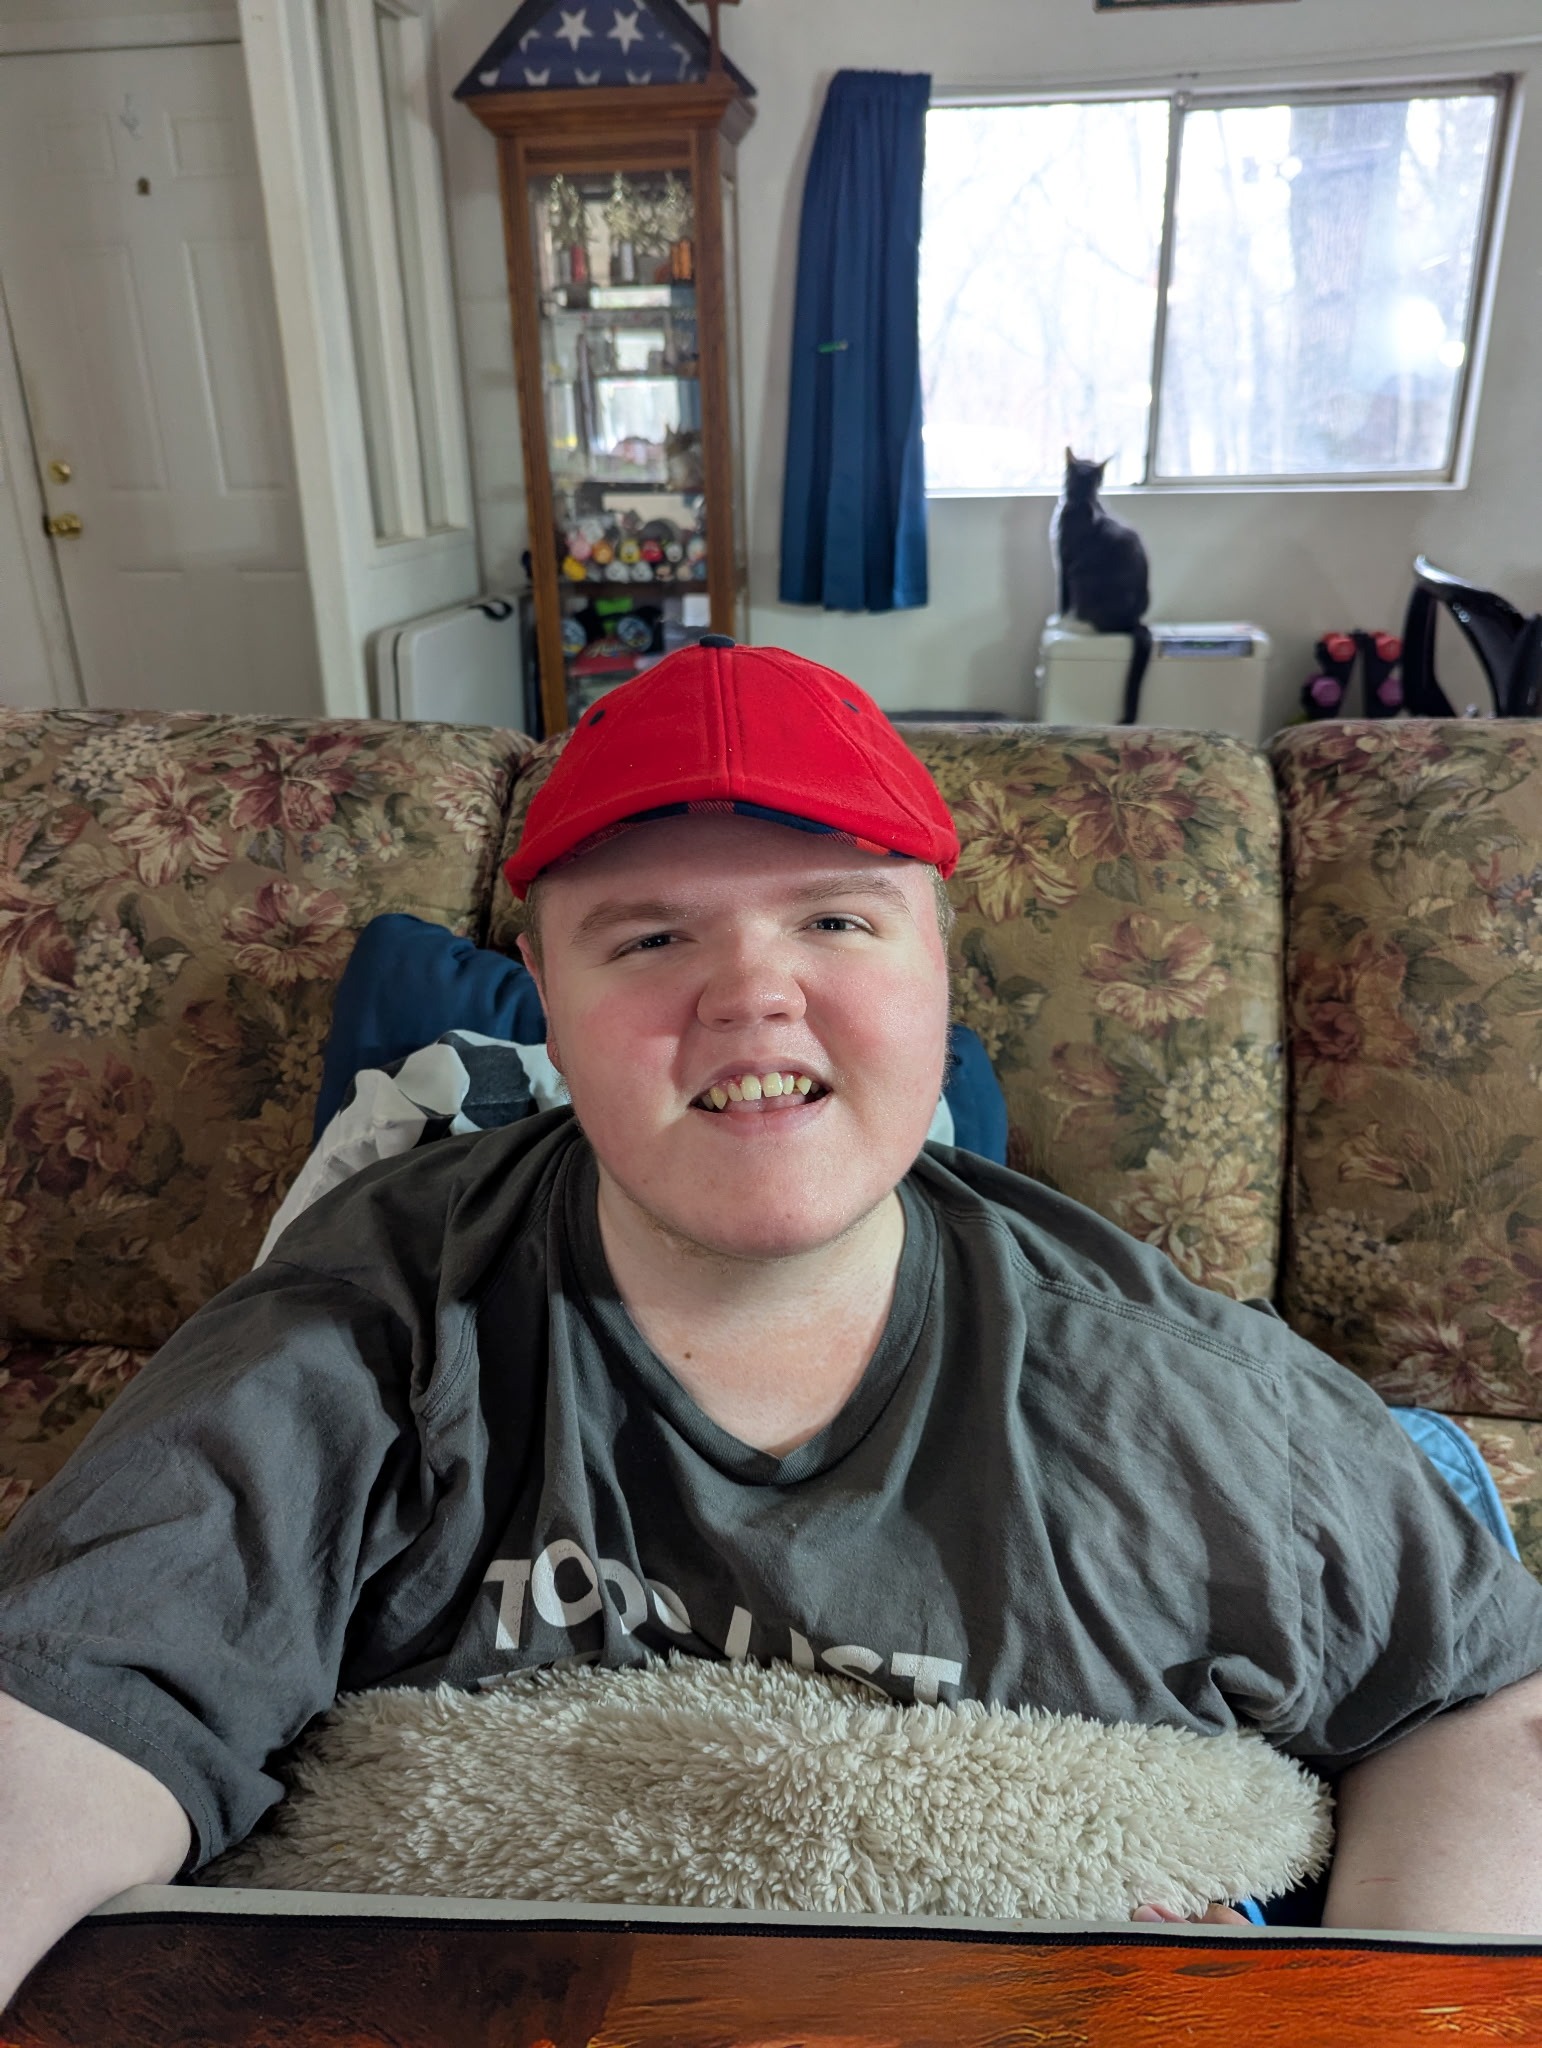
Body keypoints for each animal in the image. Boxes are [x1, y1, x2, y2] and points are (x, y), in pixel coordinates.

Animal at [1048, 450, 1152, 725]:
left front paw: (1057, 619)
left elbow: (1062, 596)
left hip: (1081, 578)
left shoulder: (1064, 562)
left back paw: (1073, 624)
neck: (1083, 500)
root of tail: (1134, 622)